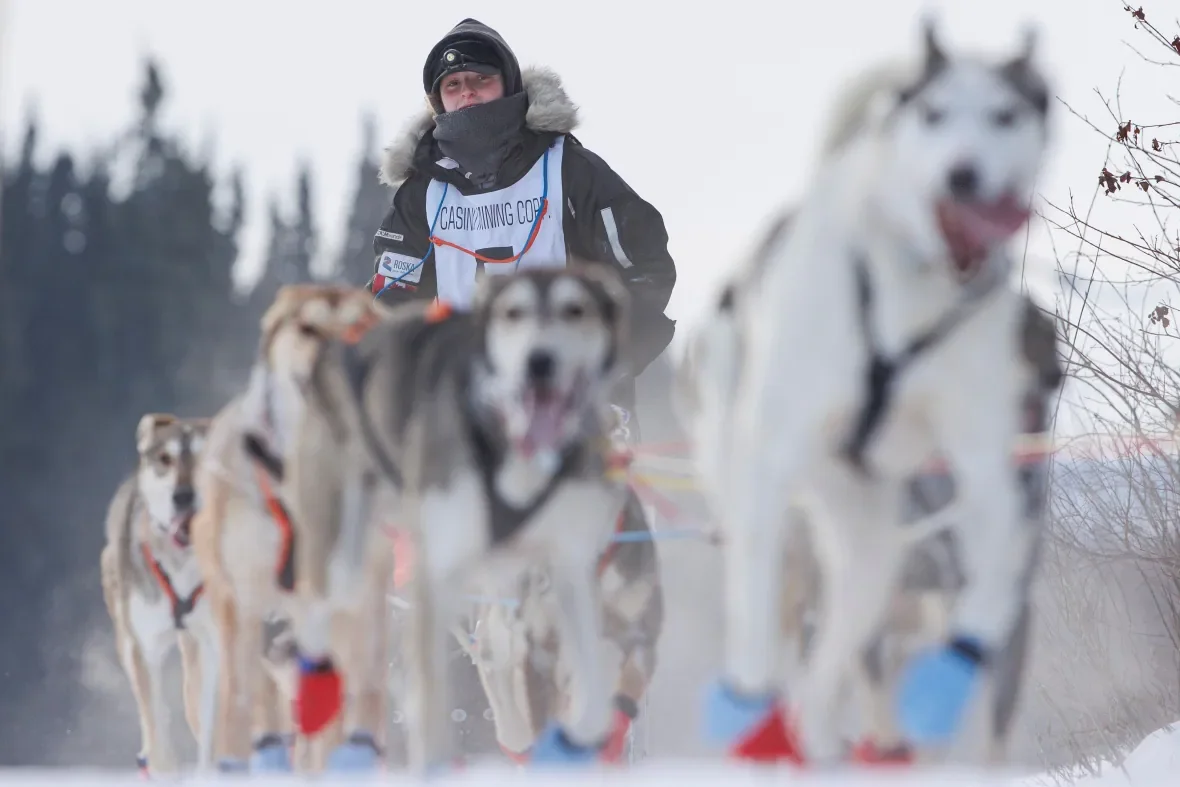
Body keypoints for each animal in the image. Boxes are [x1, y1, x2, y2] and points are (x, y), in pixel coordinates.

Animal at [186, 284, 384, 774]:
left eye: (360, 325)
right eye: (307, 328)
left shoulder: (364, 587)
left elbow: (362, 688)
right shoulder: (242, 601)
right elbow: (240, 701)